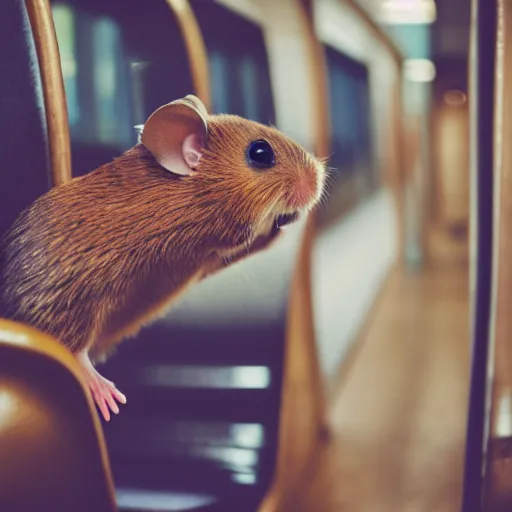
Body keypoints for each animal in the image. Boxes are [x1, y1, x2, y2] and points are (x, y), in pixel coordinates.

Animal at [0, 95, 326, 420]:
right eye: (260, 153)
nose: (319, 178)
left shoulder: (208, 259)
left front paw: (285, 223)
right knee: (74, 347)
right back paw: (101, 388)